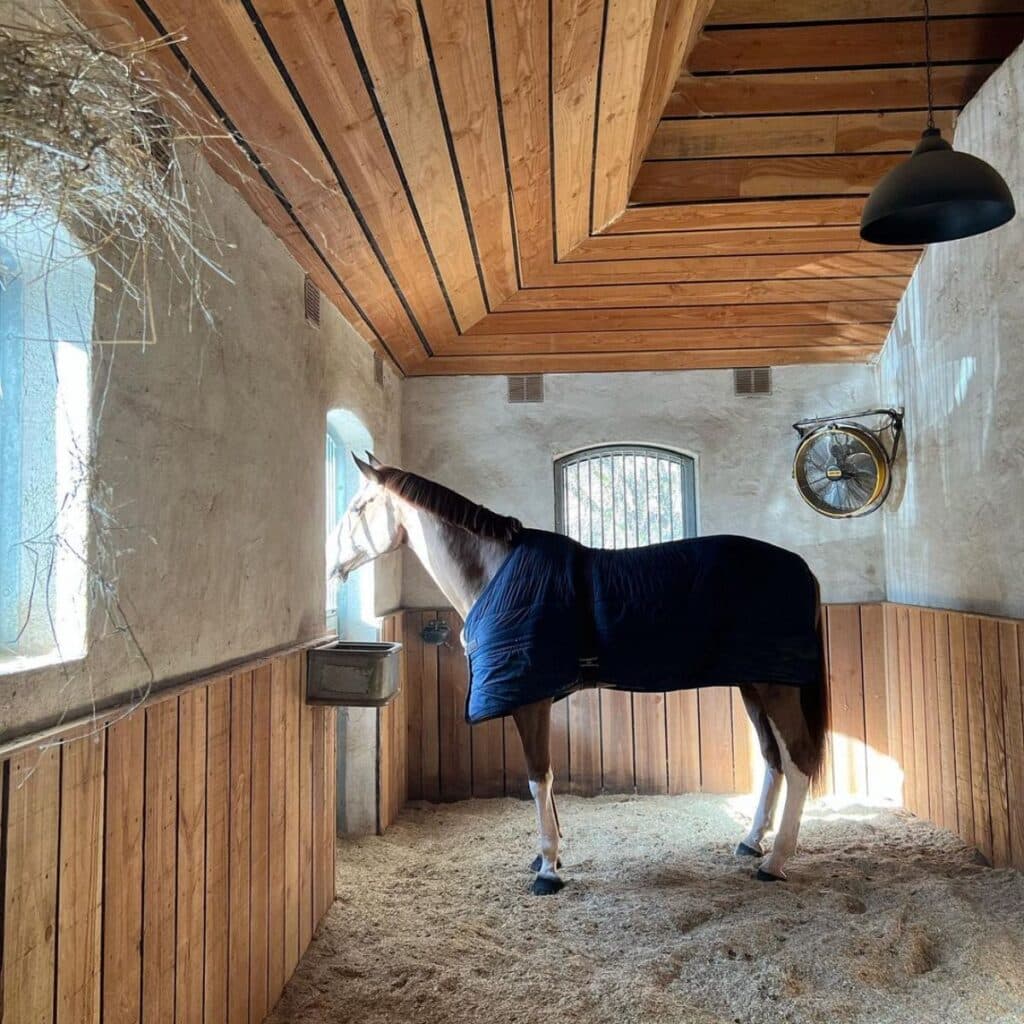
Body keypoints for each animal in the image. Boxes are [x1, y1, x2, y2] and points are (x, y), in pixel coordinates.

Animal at [327, 453, 829, 896]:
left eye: (359, 507)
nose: (332, 564)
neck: (496, 573)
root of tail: (801, 567)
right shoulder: (533, 694)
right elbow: (543, 781)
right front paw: (547, 856)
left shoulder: (530, 698)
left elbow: (539, 777)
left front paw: (548, 869)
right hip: (754, 682)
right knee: (773, 758)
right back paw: (751, 841)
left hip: (777, 686)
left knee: (800, 758)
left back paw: (774, 862)